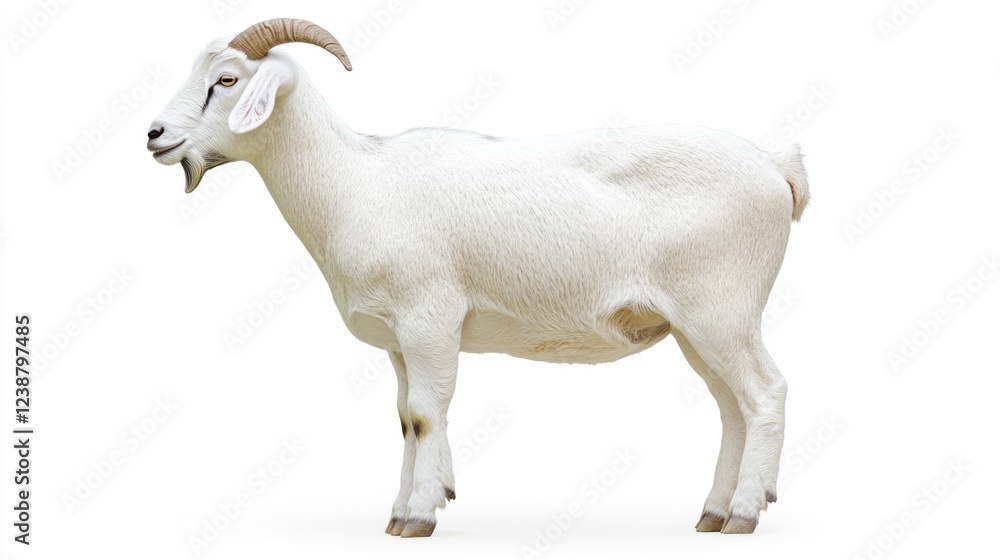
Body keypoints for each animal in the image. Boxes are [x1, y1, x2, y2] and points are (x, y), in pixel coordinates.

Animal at [147, 18, 809, 537]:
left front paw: (419, 515)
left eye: (227, 80)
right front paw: (403, 508)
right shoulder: (398, 339)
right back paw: (714, 512)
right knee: (731, 407)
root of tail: (774, 166)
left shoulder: (429, 317)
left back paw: (745, 513)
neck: (357, 182)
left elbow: (425, 412)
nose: (154, 135)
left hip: (722, 309)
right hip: (695, 326)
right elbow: (404, 418)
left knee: (766, 393)